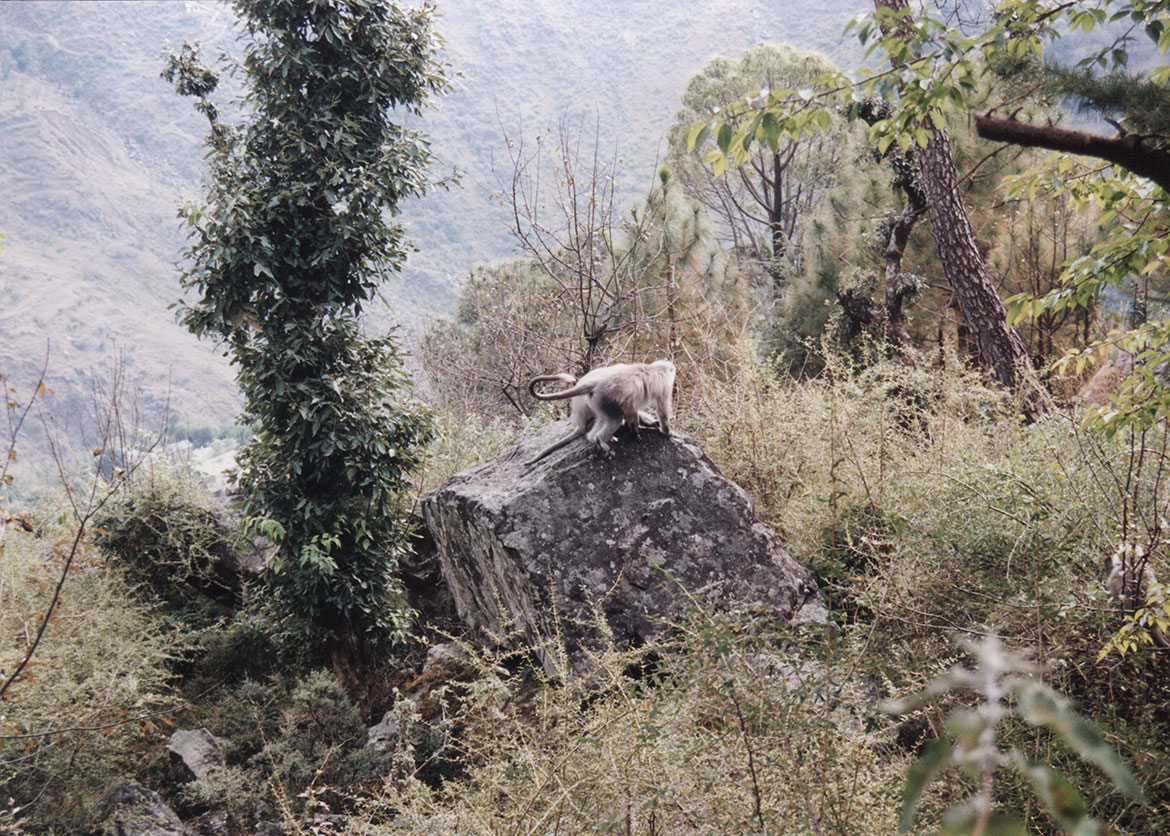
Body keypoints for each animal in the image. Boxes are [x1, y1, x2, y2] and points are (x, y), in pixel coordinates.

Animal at [524, 357, 678, 467]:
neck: (653, 367)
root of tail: (597, 383)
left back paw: (594, 438)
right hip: (604, 399)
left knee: (606, 419)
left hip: (597, 401)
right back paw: (600, 440)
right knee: (616, 418)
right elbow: (662, 411)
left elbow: (632, 409)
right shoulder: (665, 384)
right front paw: (667, 432)